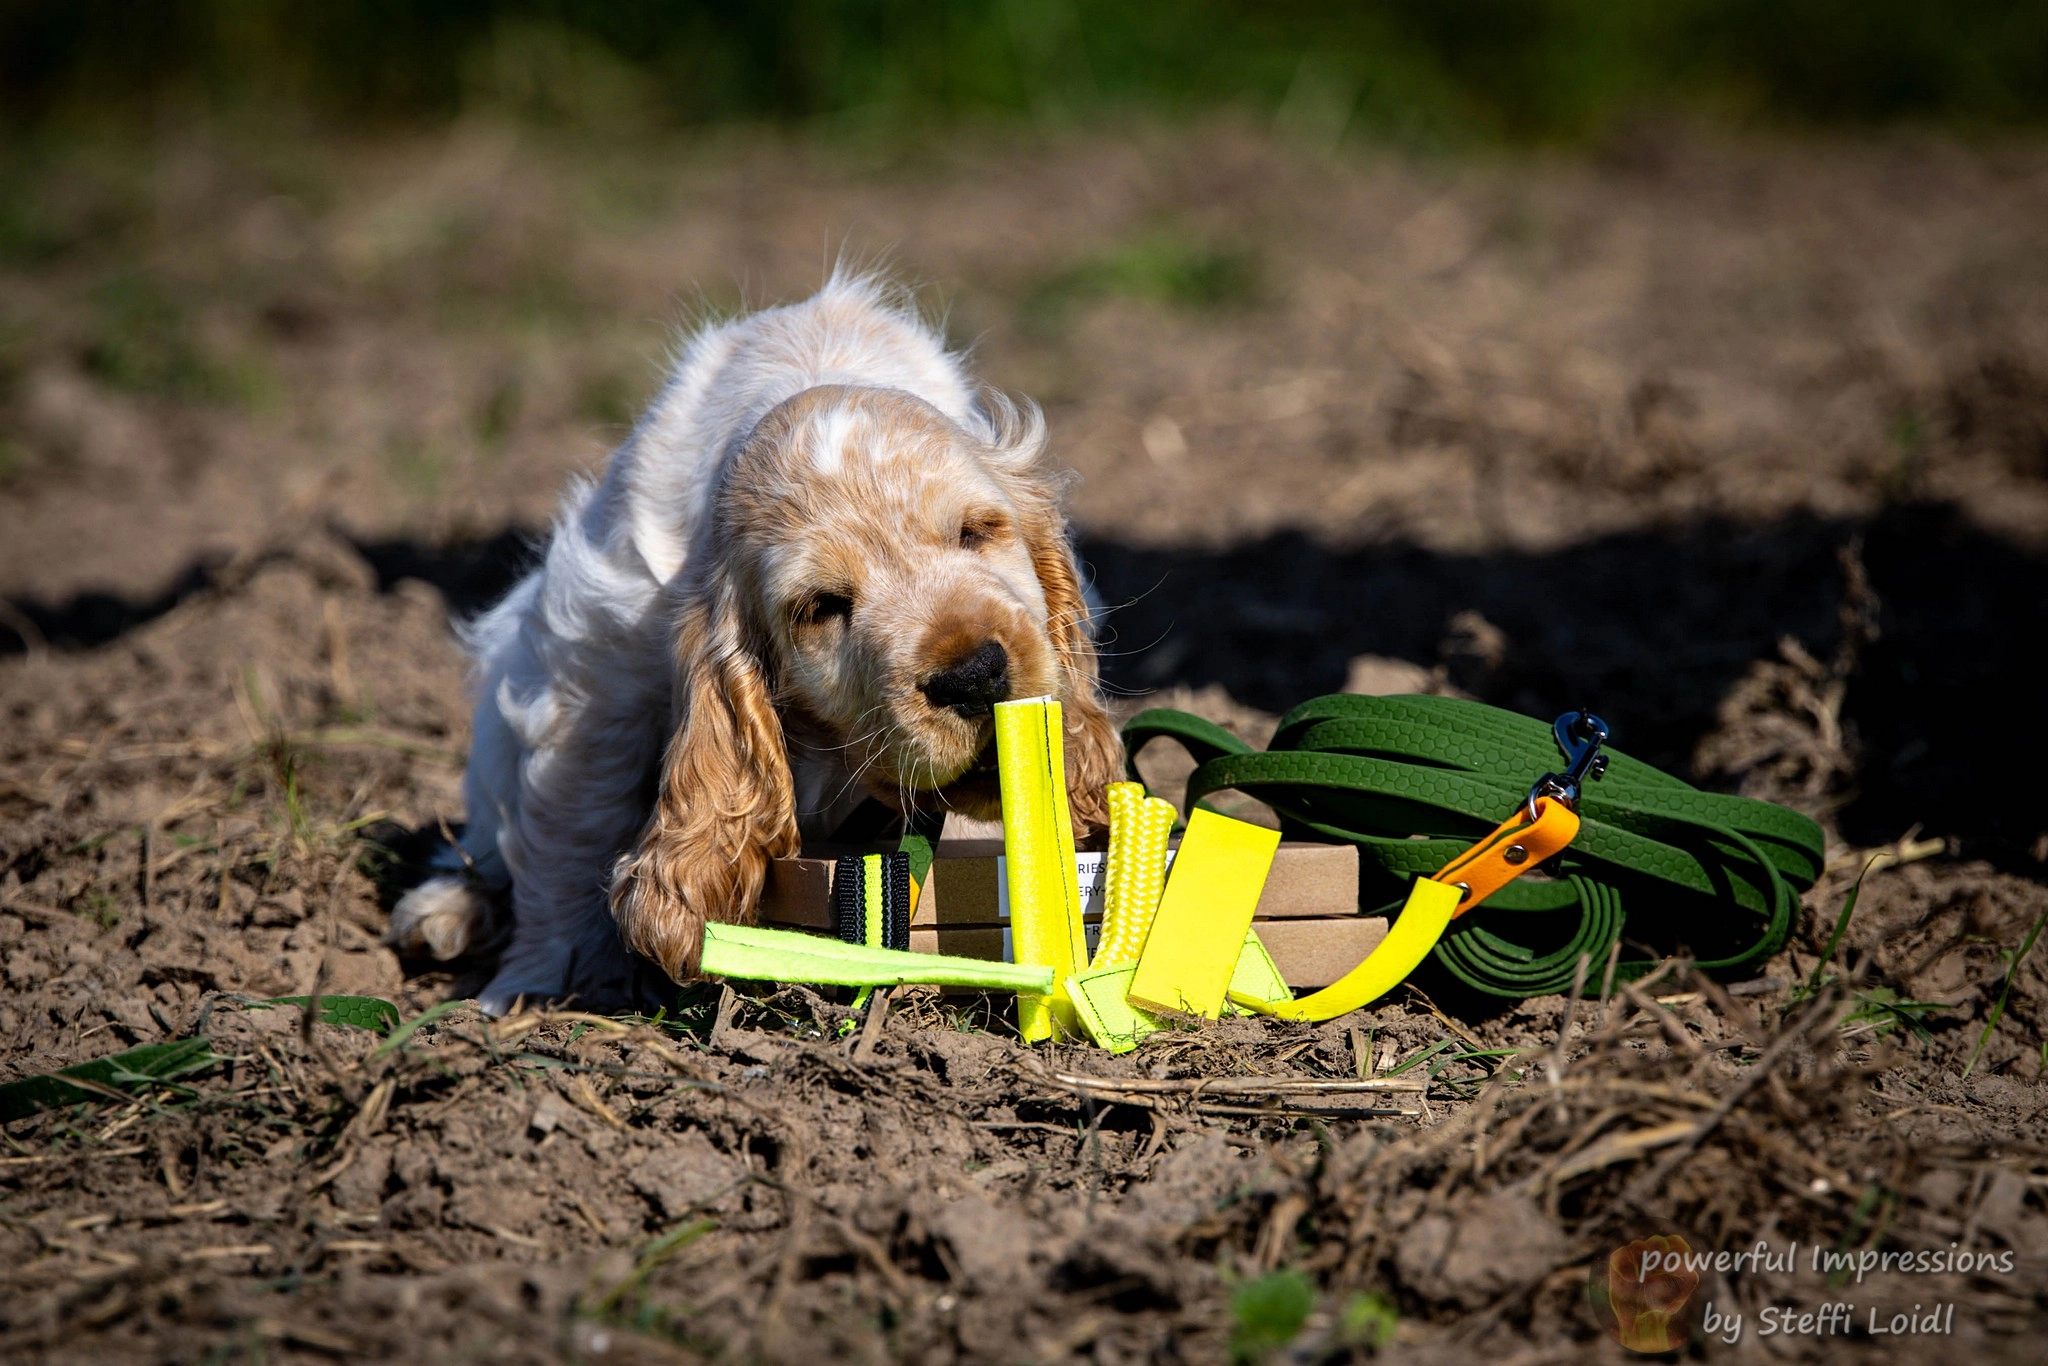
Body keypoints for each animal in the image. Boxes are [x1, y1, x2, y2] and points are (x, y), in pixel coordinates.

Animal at [385, 272, 1122, 1015]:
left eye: (977, 531)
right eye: (821, 607)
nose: (973, 675)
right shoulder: (595, 665)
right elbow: (575, 822)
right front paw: (542, 985)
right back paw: (445, 910)